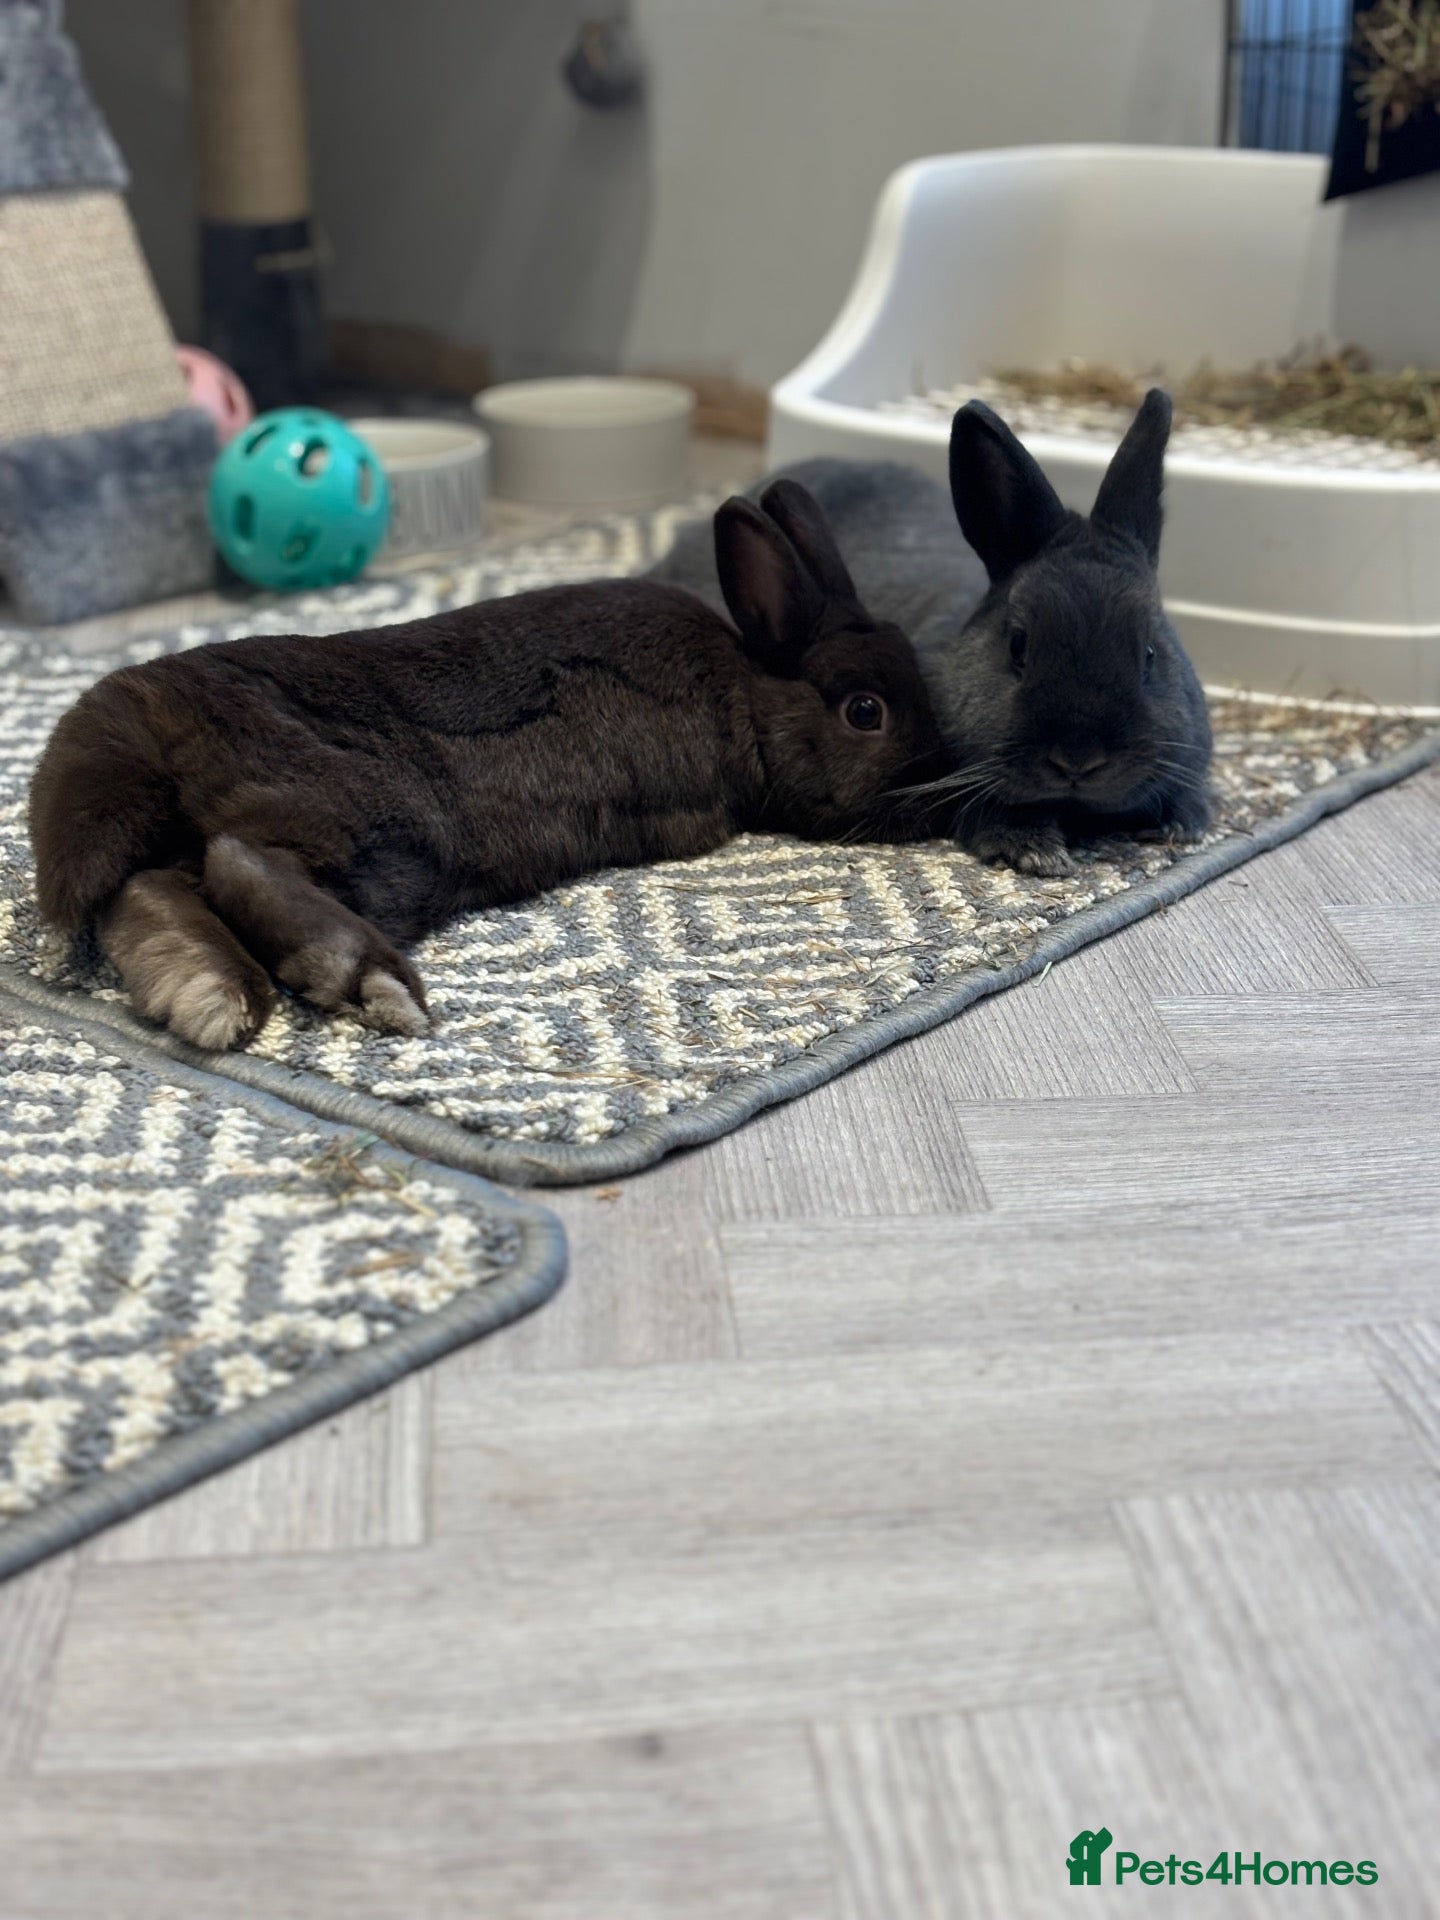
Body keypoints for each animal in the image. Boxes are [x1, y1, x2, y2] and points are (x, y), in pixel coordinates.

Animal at [29, 479, 947, 1052]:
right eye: (866, 712)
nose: (940, 779)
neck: (750, 688)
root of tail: (137, 723)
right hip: (380, 833)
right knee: (240, 861)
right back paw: (370, 982)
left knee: (151, 887)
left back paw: (210, 996)